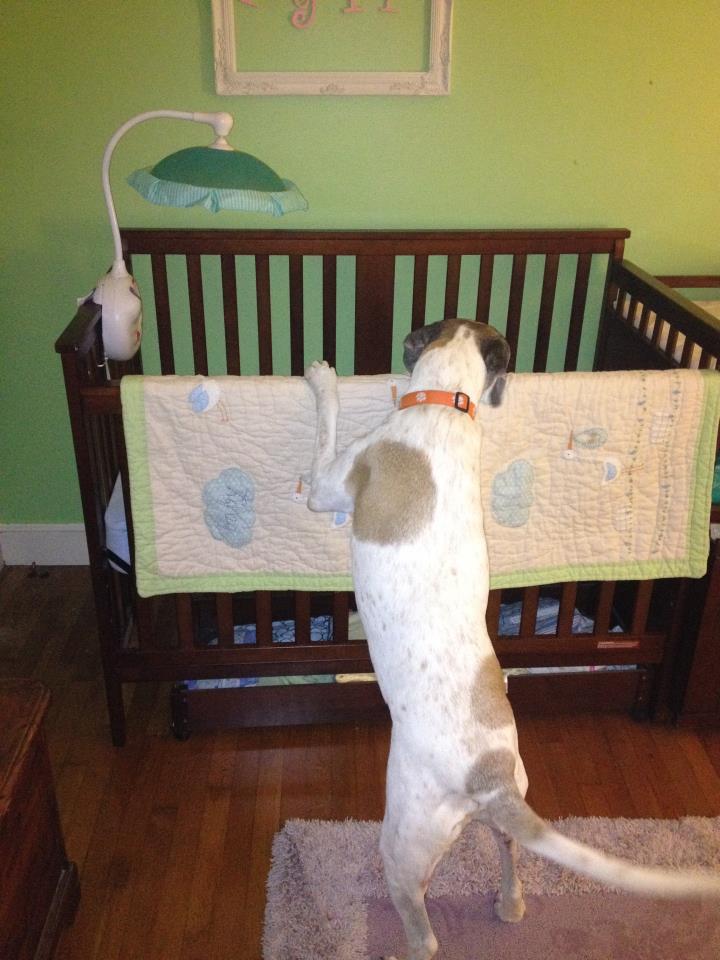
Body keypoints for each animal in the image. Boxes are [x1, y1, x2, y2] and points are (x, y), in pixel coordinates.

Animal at [305, 318, 720, 960]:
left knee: (422, 930)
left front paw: (323, 378)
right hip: (511, 803)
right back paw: (510, 904)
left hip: (403, 841)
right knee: (509, 852)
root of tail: (491, 777)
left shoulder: (328, 483)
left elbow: (323, 439)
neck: (446, 404)